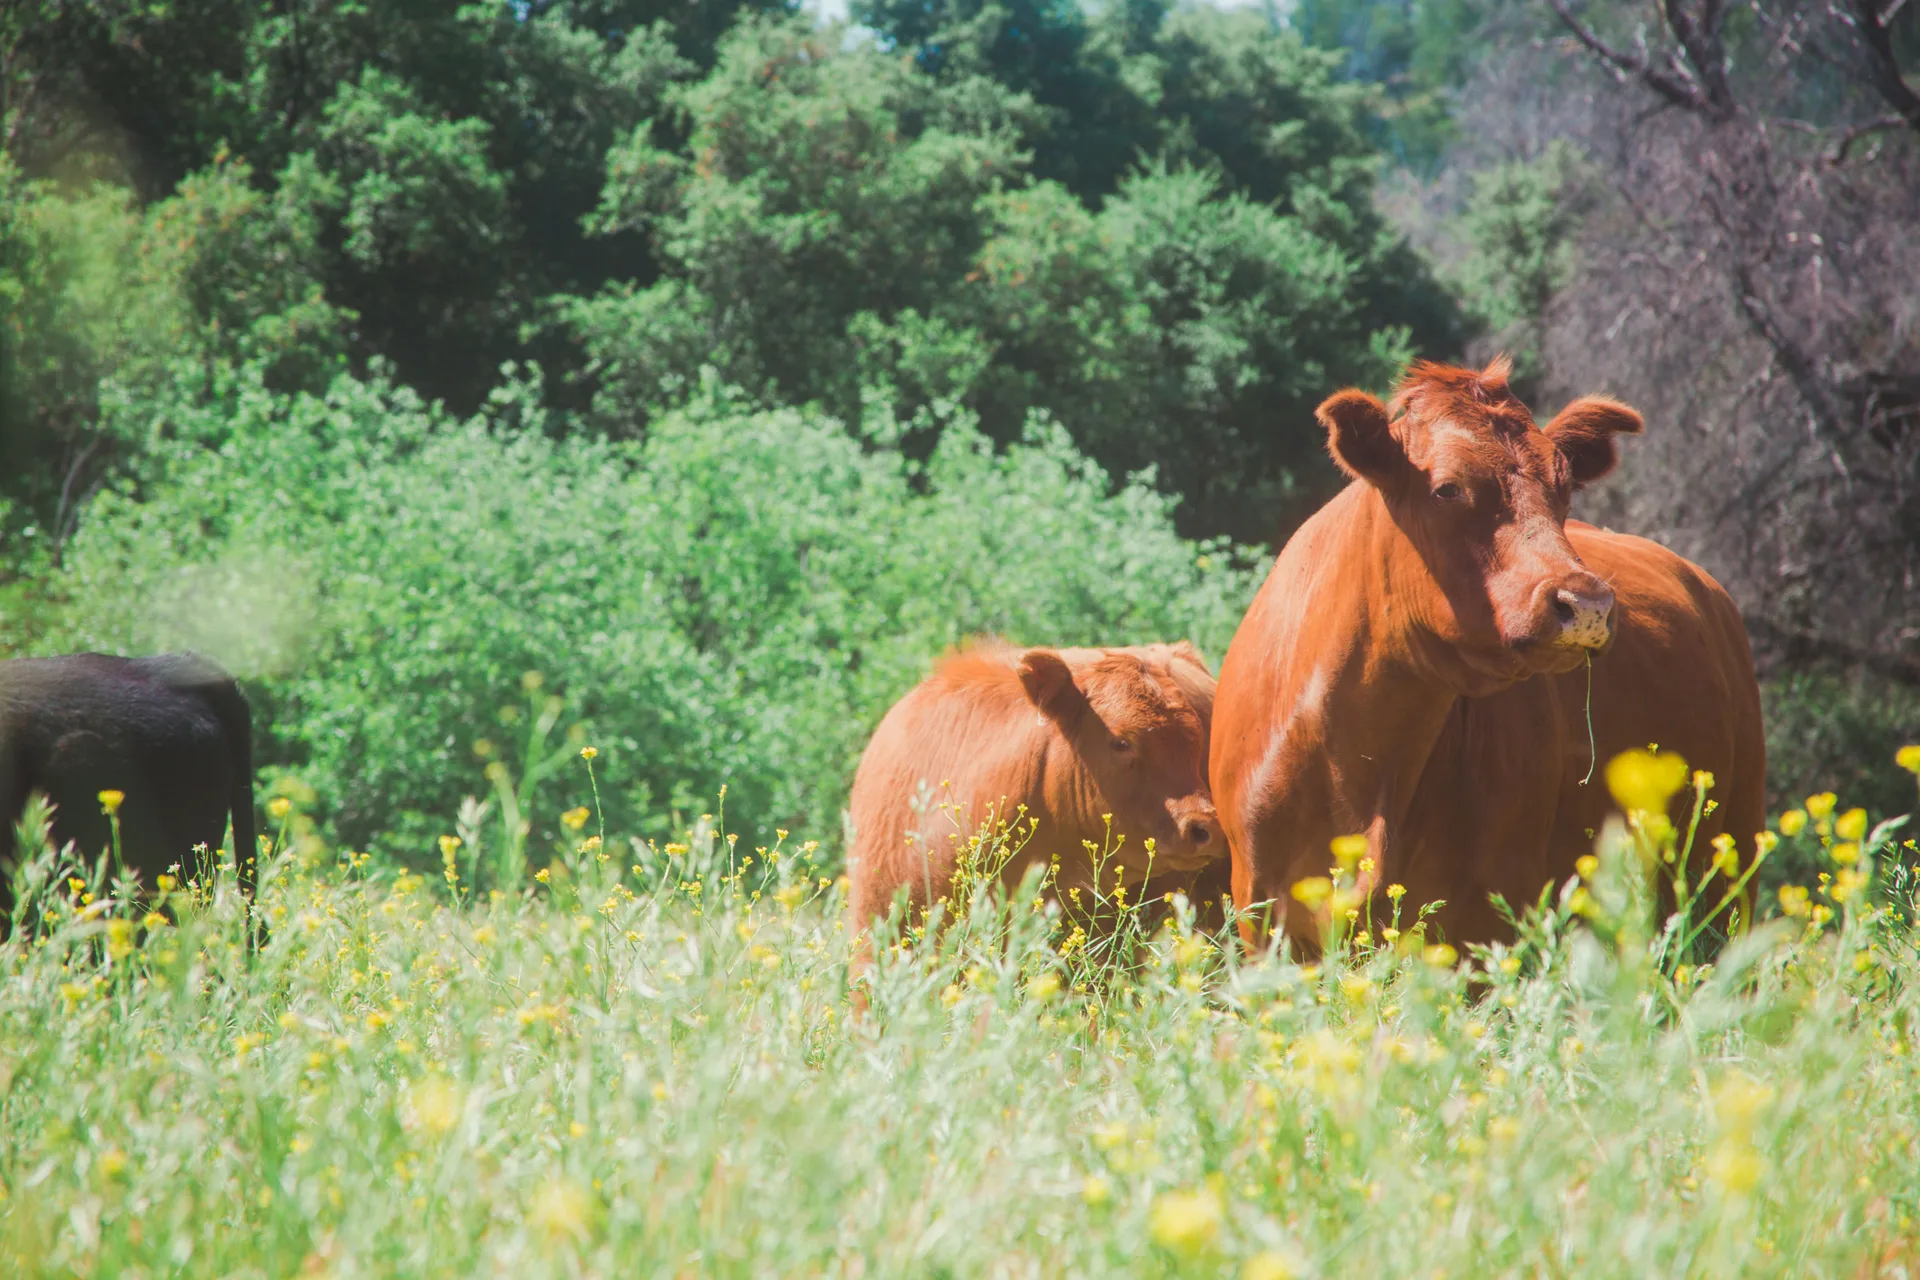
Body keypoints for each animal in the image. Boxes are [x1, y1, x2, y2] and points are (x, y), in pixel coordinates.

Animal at [1211, 358, 1766, 950]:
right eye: (1447, 489)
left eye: (1564, 488)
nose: (1587, 602)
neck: (1355, 764)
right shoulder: (1259, 908)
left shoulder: (1496, 906)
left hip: (1735, 857)